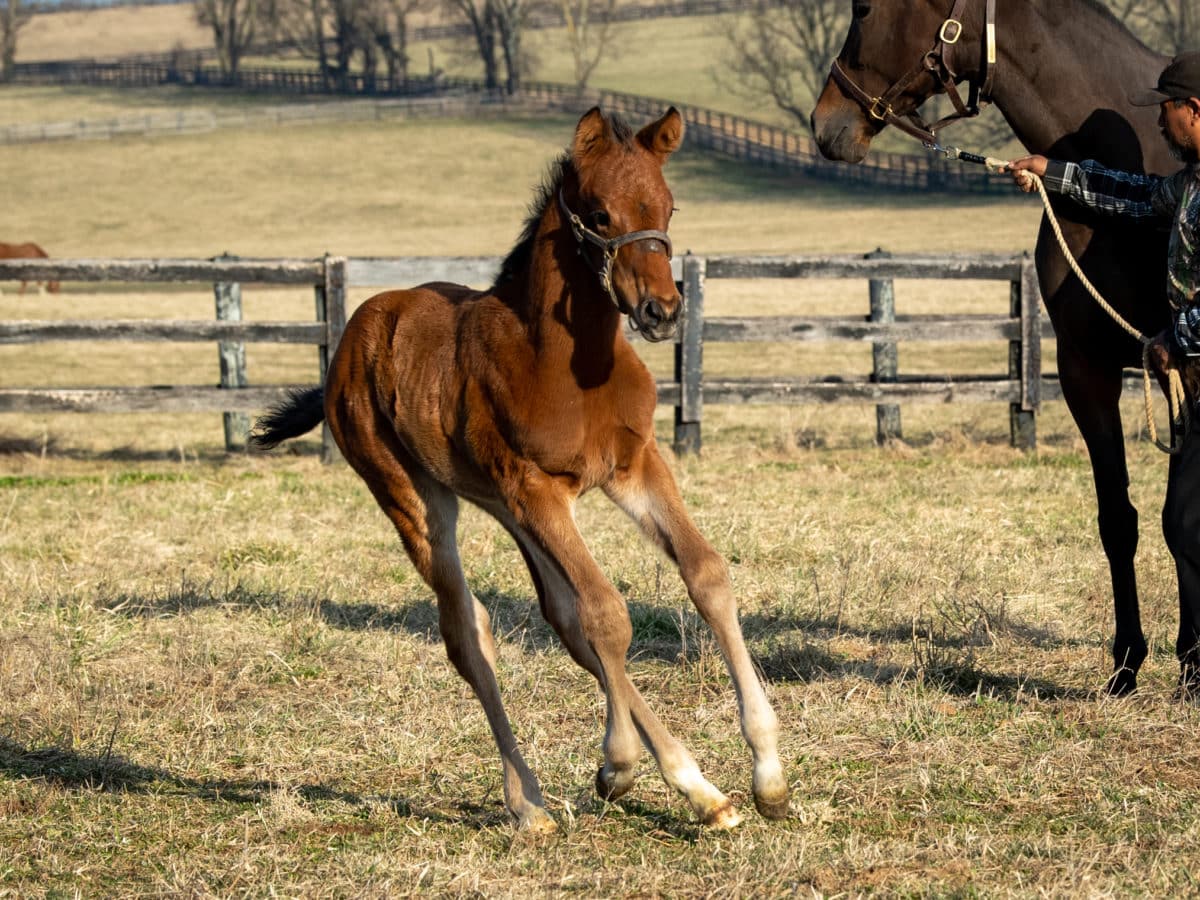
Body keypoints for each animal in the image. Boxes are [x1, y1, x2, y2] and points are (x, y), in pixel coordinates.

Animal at [249, 105, 792, 830]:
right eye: (599, 212)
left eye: (668, 207)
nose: (663, 310)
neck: (564, 361)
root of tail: (355, 333)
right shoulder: (537, 489)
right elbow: (607, 613)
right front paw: (650, 771)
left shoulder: (633, 466)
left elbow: (703, 575)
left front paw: (765, 774)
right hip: (417, 499)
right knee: (468, 634)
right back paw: (532, 802)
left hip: (502, 505)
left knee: (560, 618)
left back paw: (664, 783)